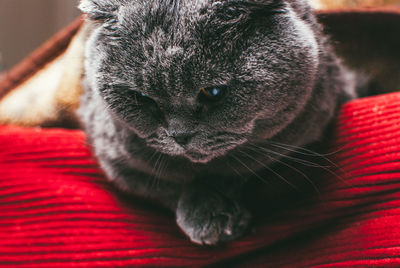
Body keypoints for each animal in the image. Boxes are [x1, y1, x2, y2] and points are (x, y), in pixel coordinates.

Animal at [77, 0, 356, 245]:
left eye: (212, 92)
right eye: (143, 97)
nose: (180, 135)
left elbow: (238, 169)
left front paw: (215, 214)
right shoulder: (115, 159)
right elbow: (166, 184)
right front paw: (208, 214)